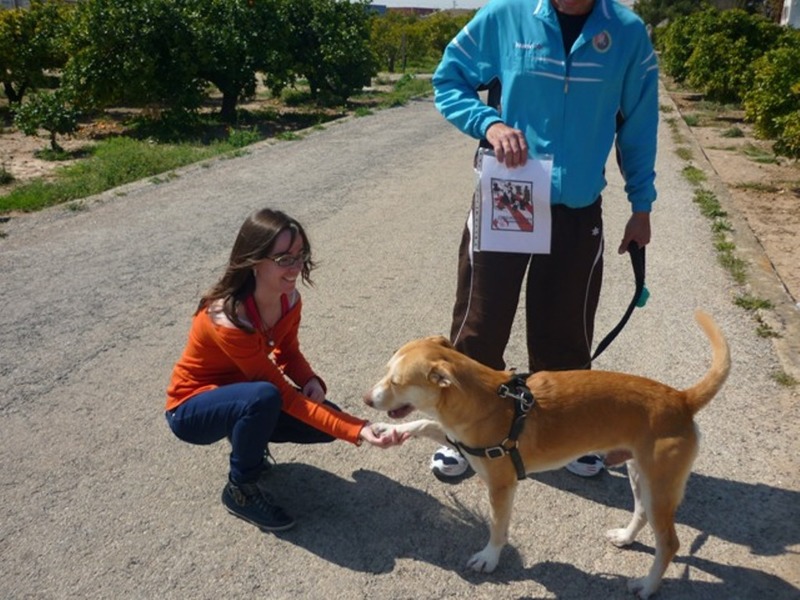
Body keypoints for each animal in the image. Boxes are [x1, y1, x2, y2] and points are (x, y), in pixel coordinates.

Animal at [366, 312, 728, 596]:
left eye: (397, 382)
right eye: (385, 372)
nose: (367, 399)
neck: (481, 398)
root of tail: (681, 399)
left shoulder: (501, 487)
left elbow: (497, 527)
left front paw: (489, 558)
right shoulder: (460, 439)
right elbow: (425, 423)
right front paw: (390, 431)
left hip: (660, 487)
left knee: (669, 544)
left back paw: (647, 586)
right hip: (640, 476)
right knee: (640, 513)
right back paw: (626, 537)